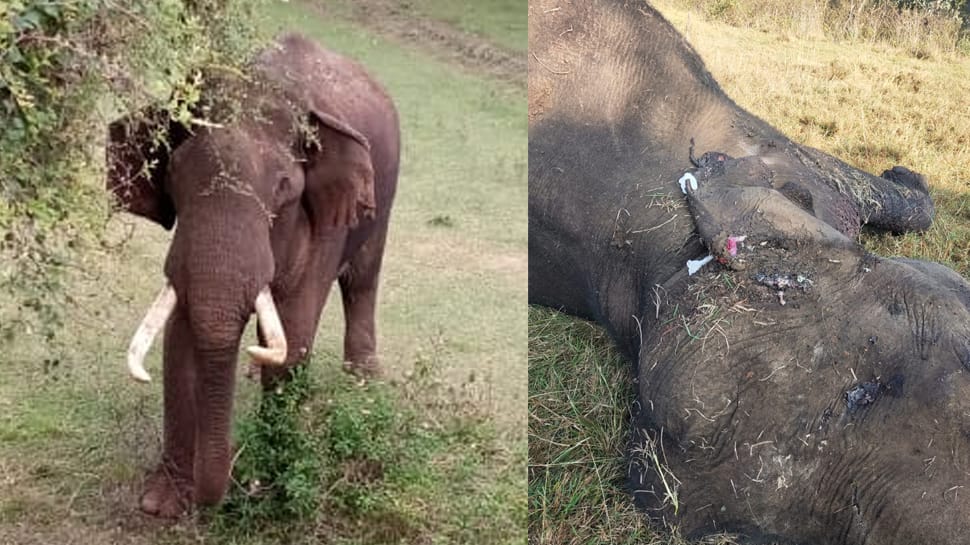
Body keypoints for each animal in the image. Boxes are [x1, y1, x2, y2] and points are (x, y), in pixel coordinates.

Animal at [104, 31, 396, 516]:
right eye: (174, 173)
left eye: (283, 187)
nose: (235, 482)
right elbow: (180, 341)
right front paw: (163, 504)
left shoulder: (322, 222)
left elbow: (295, 330)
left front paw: (278, 484)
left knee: (362, 279)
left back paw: (364, 377)